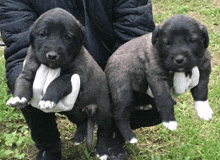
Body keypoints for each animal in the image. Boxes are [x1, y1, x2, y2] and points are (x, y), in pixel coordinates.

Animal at [105, 14, 212, 143]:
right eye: (167, 42)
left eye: (192, 40)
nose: (179, 59)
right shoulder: (158, 78)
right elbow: (164, 99)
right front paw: (169, 120)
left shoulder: (203, 71)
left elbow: (202, 91)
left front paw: (203, 109)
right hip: (123, 90)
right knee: (119, 114)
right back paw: (130, 136)